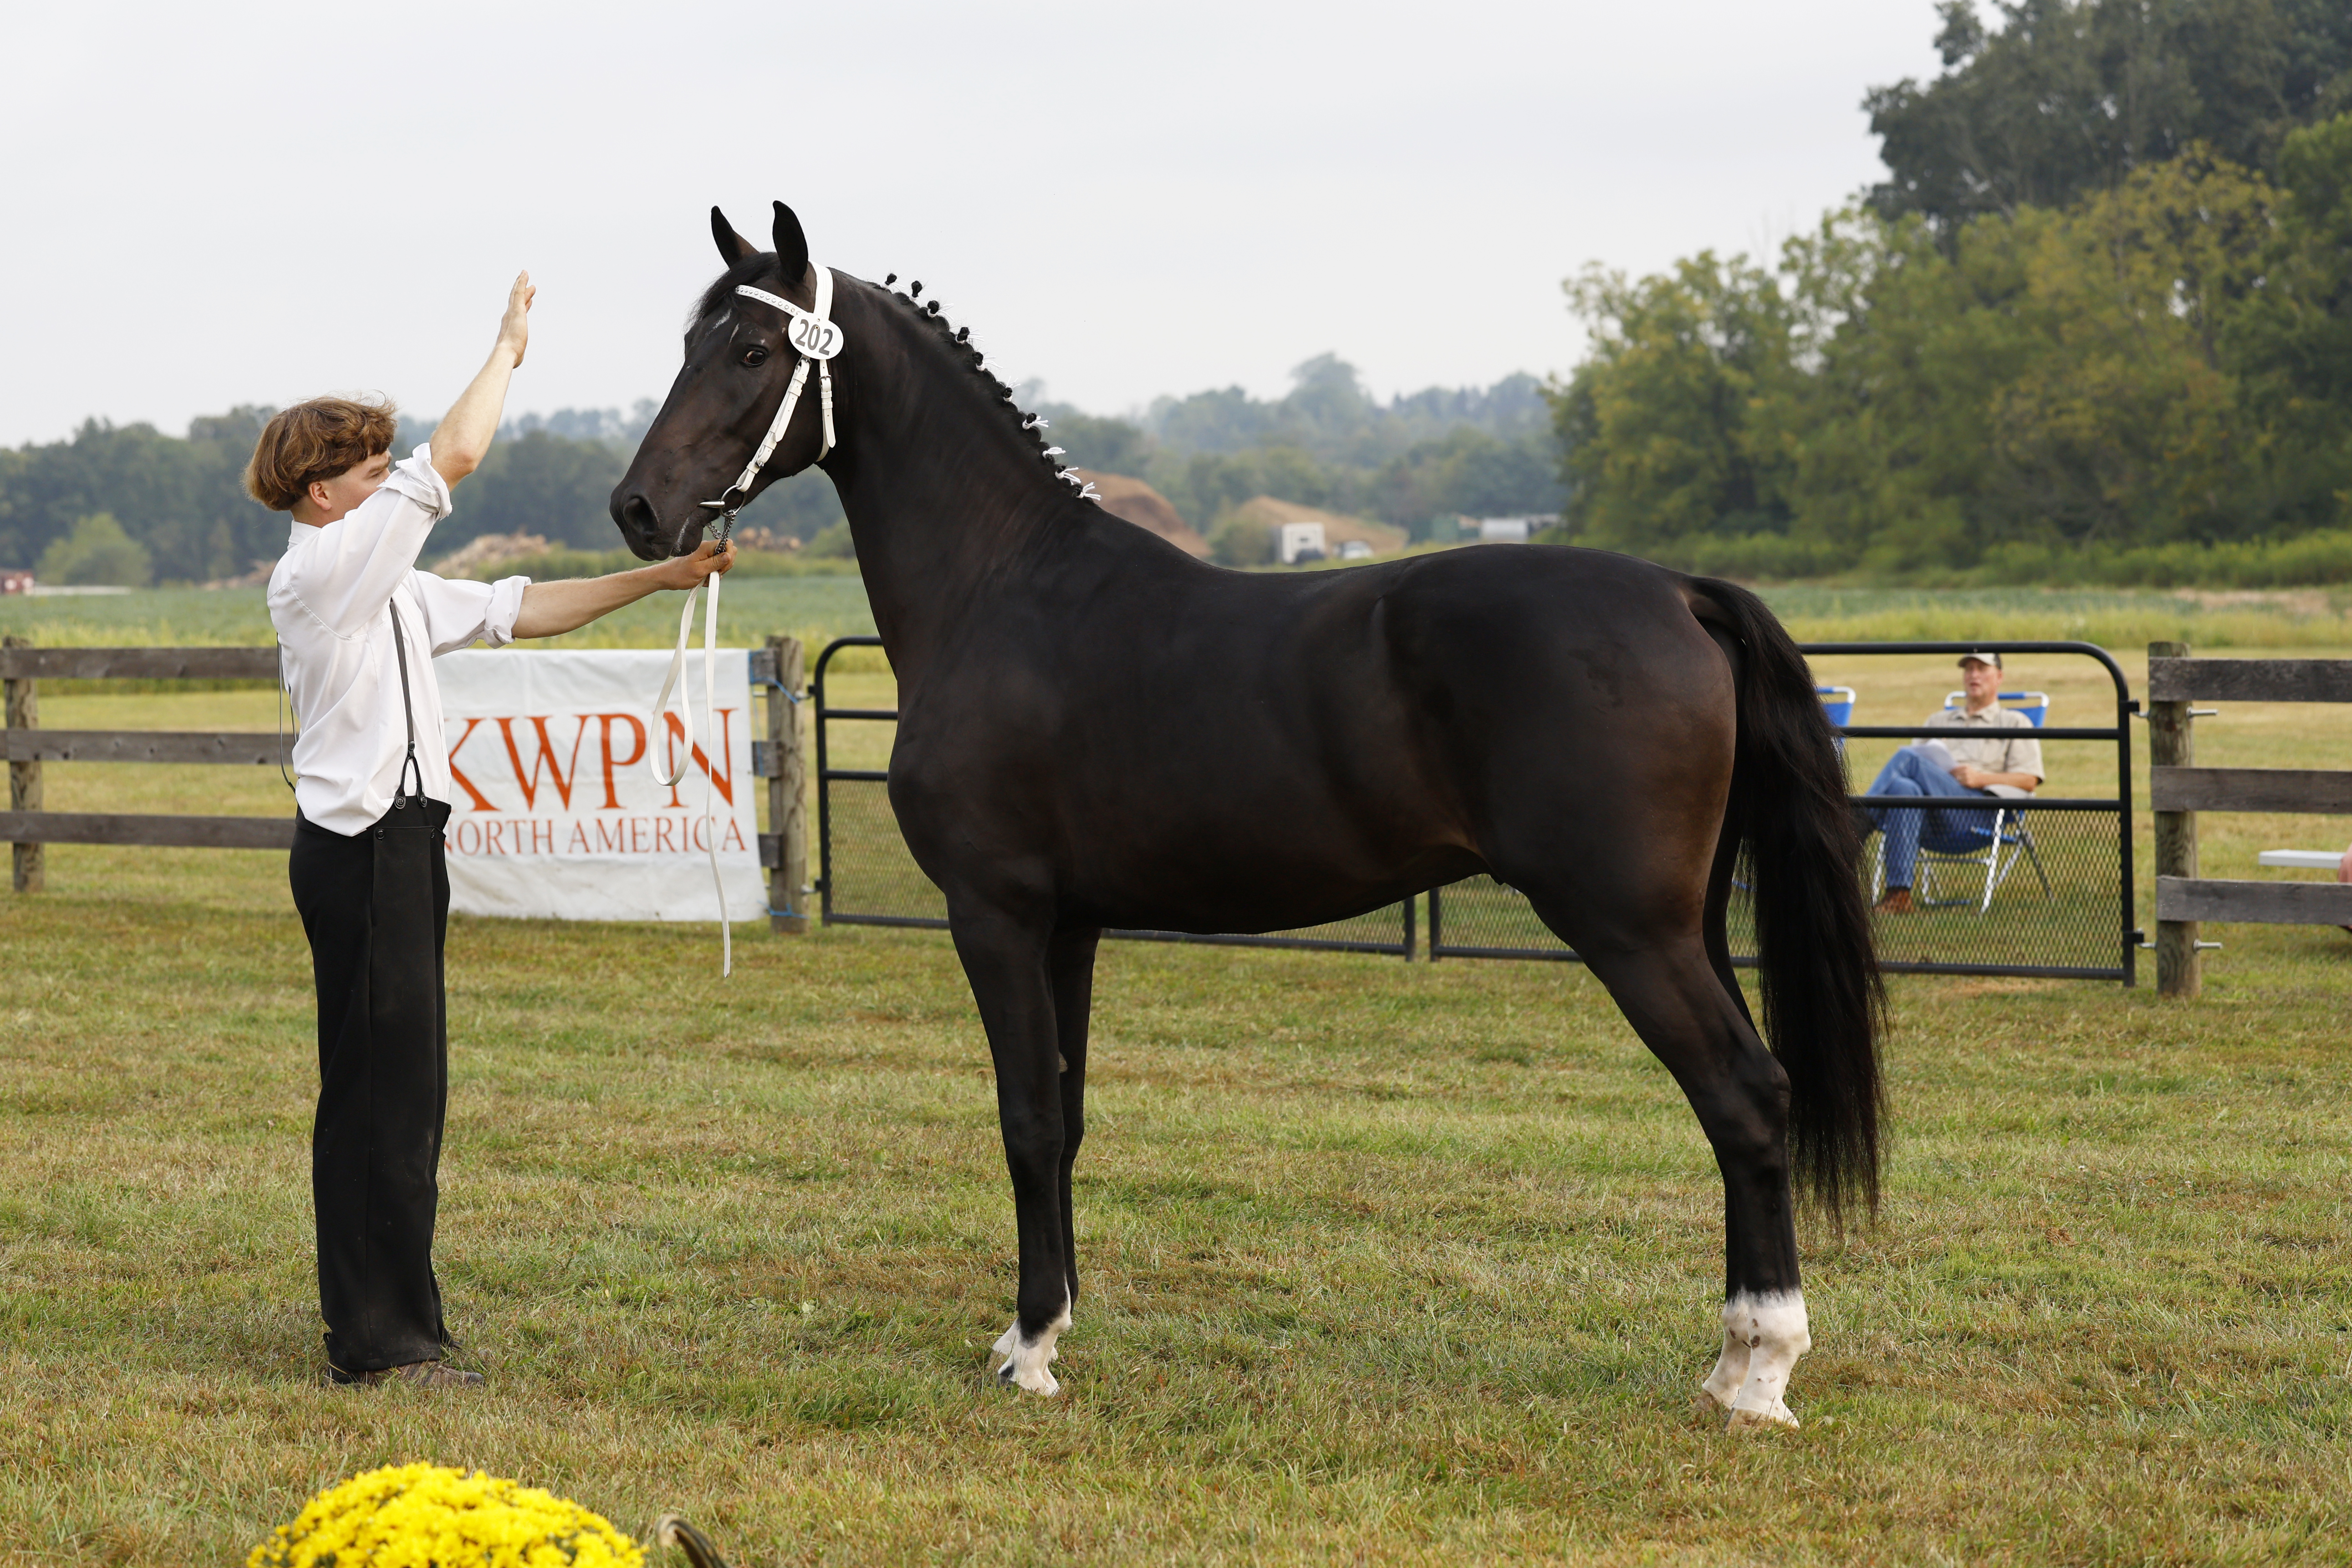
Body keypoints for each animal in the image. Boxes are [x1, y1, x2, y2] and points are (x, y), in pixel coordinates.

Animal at [611, 202, 1883, 1431]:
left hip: (1627, 928)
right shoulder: (1068, 925)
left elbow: (1025, 1118)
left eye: (753, 349)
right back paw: (1733, 1364)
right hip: (1689, 924)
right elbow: (1068, 1116)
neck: (1001, 589)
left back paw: (1757, 1370)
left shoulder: (995, 913)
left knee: (1742, 1095)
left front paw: (1027, 1350)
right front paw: (1050, 1323)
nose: (636, 508)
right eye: (689, 342)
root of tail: (1679, 590)